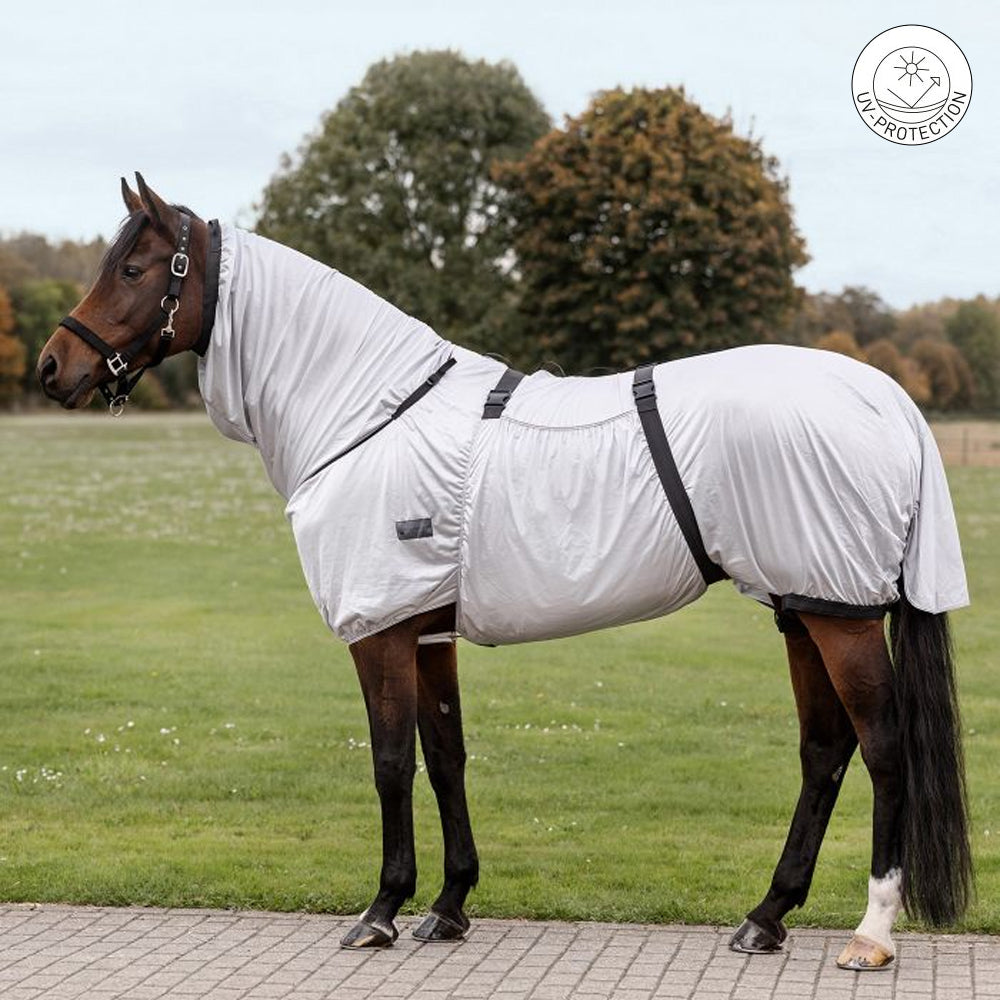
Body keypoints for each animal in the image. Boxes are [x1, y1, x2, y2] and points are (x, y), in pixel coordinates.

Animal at [37, 175, 972, 970]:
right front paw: (448, 907)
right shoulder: (426, 629)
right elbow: (446, 753)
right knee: (825, 749)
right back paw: (765, 917)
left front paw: (380, 911)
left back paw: (870, 933)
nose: (52, 368)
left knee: (884, 748)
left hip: (840, 615)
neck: (369, 411)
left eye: (132, 268)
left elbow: (390, 761)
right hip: (802, 605)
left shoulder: (379, 630)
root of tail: (886, 396)